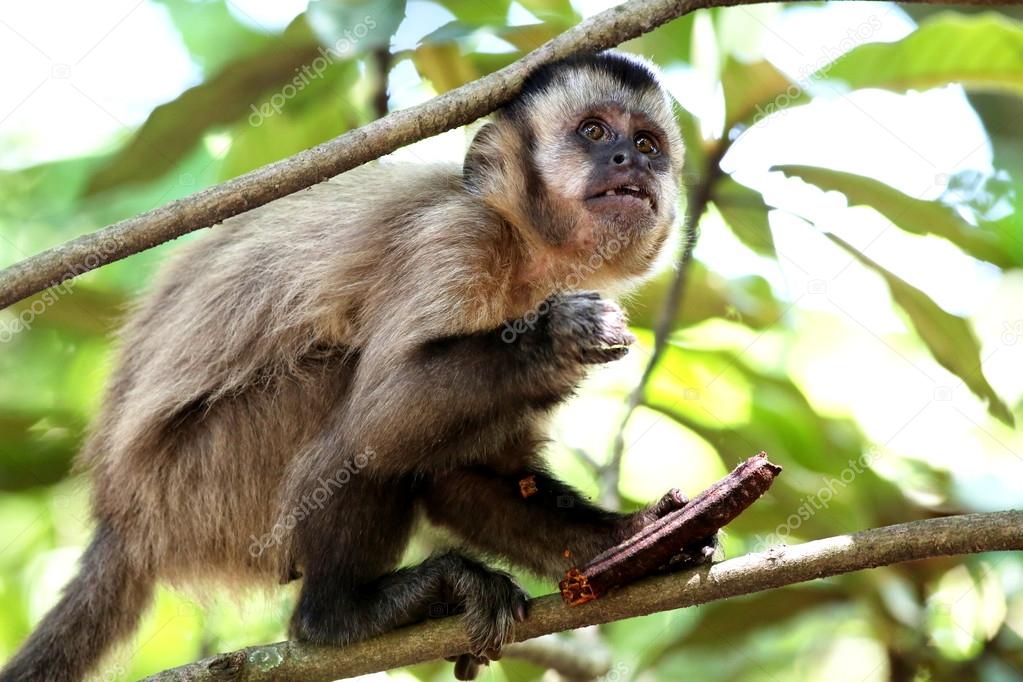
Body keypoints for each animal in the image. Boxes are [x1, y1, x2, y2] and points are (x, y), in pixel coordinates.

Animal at [3, 49, 716, 682]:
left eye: (648, 144)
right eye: (594, 131)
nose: (629, 160)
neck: (524, 251)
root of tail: (120, 519)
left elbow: (472, 479)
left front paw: (645, 537)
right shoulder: (456, 239)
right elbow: (386, 414)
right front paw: (560, 336)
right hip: (201, 492)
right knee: (348, 413)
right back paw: (337, 617)